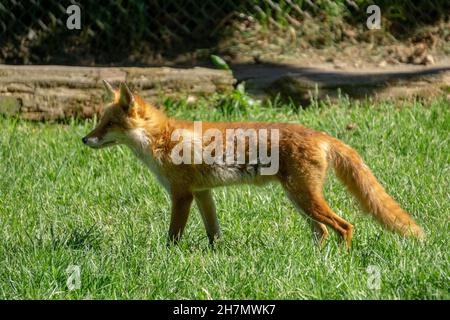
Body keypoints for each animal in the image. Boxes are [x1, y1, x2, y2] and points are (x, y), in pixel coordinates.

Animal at [82, 80, 424, 248]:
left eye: (109, 124)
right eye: (99, 122)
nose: (85, 140)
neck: (161, 139)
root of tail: (321, 134)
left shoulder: (182, 195)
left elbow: (173, 236)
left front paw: (168, 258)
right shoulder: (203, 193)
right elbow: (214, 232)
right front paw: (217, 254)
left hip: (304, 198)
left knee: (344, 226)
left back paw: (341, 261)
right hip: (299, 199)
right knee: (323, 232)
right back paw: (316, 260)